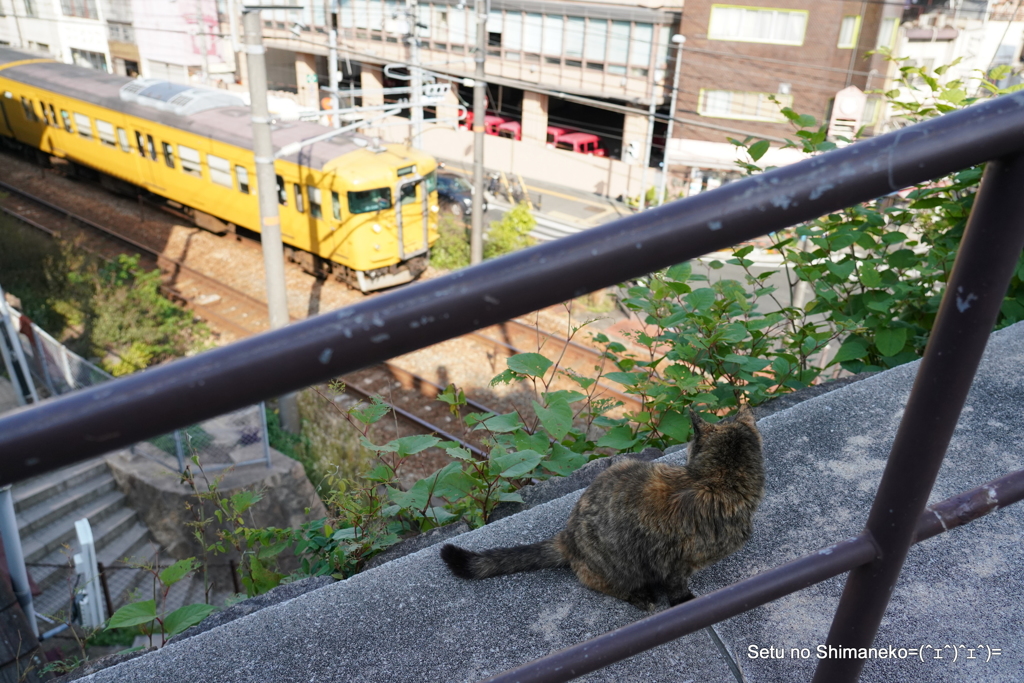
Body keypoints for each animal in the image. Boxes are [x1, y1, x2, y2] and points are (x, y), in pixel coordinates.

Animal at [436, 405, 765, 610]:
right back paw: (641, 596)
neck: (718, 481)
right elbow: (676, 587)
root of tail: (567, 537)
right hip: (619, 566)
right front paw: (685, 602)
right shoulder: (676, 561)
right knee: (601, 582)